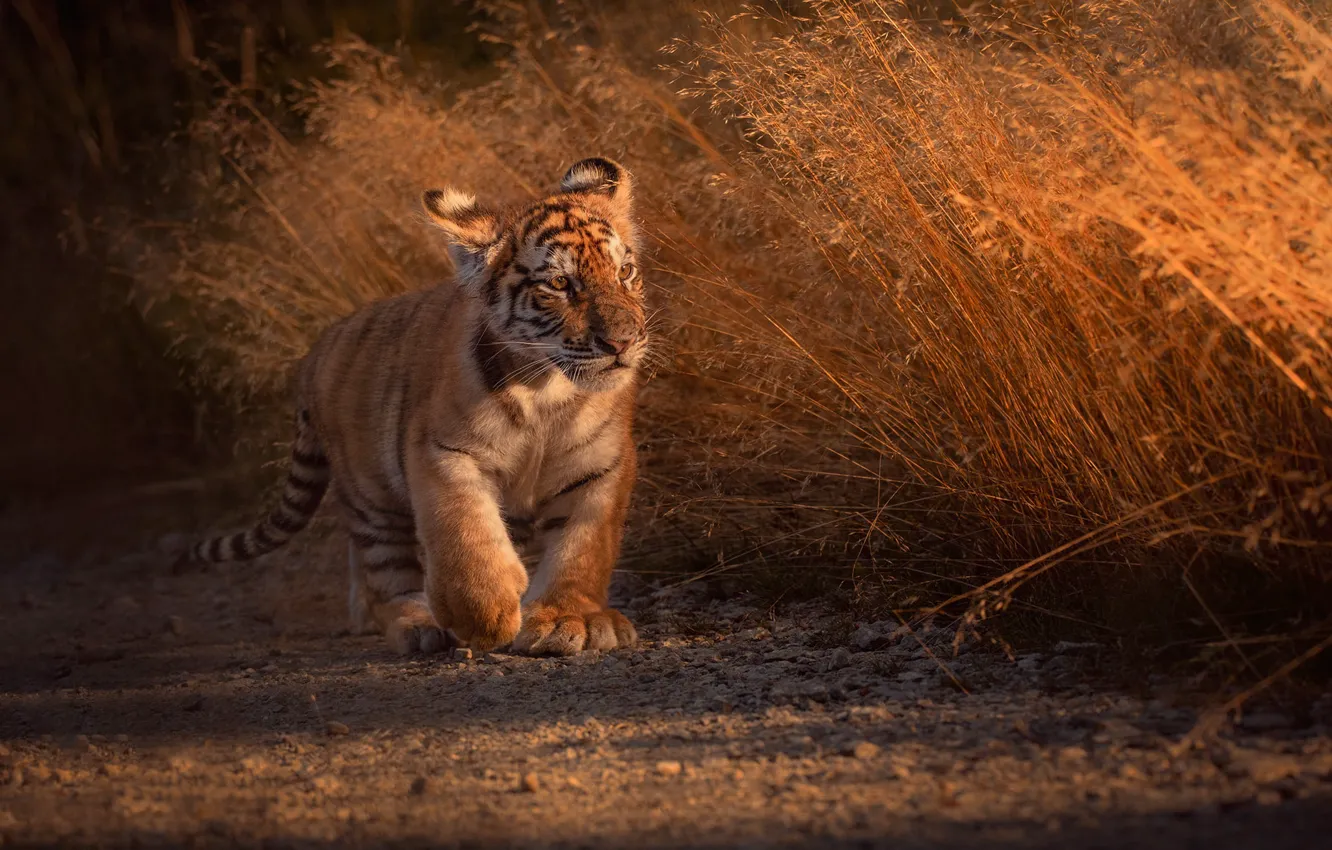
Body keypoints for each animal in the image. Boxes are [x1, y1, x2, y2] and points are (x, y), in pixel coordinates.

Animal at [179, 157, 648, 657]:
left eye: (624, 272)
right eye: (560, 283)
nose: (622, 342)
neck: (546, 390)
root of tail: (313, 356)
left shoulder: (599, 466)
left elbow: (582, 546)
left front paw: (569, 618)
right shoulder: (442, 453)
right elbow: (464, 535)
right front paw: (488, 617)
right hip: (371, 499)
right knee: (386, 572)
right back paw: (417, 625)